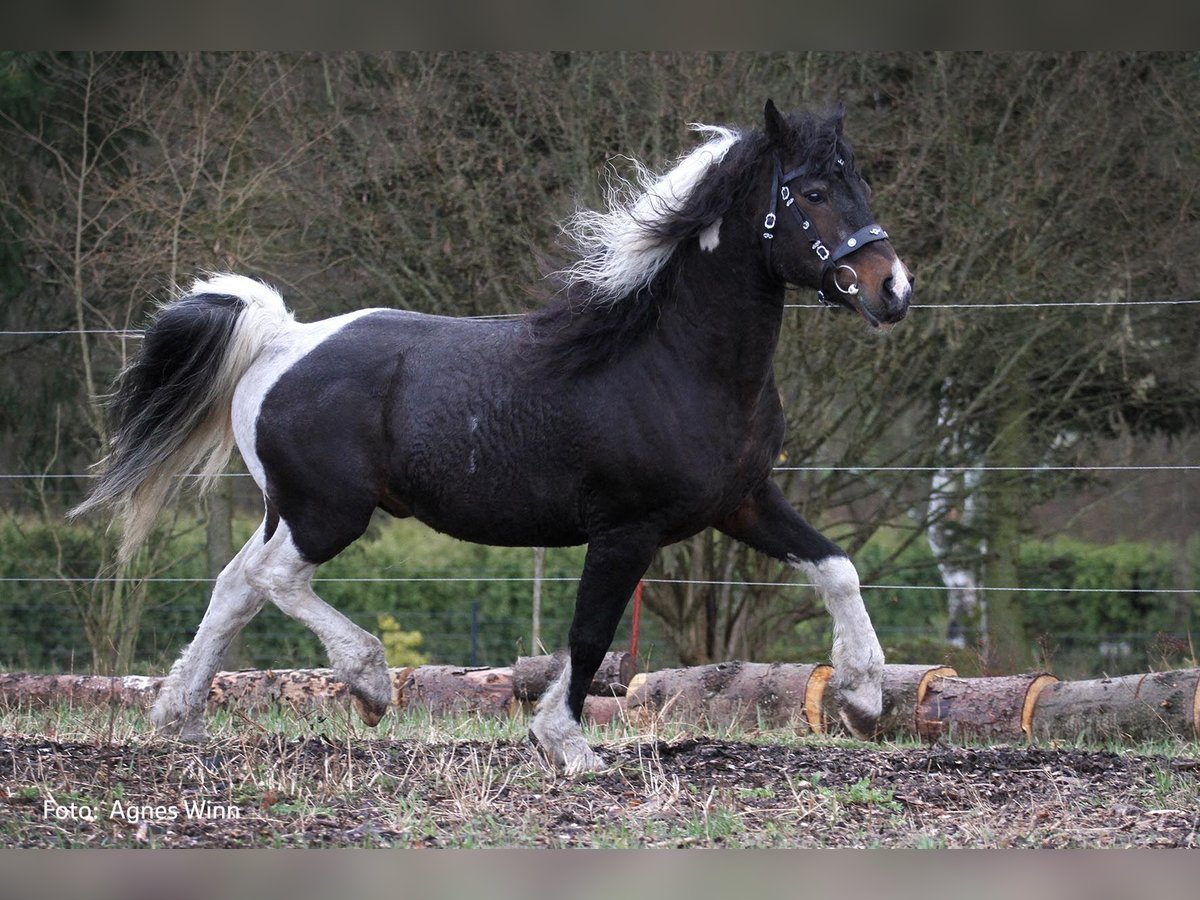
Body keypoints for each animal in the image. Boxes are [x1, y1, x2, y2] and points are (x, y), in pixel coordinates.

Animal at [75, 100, 907, 777]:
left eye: (857, 183)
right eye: (811, 192)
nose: (892, 289)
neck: (671, 360)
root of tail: (281, 339)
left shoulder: (742, 502)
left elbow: (836, 568)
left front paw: (864, 699)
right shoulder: (626, 530)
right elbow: (589, 633)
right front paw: (565, 745)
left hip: (293, 508)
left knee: (235, 586)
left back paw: (180, 718)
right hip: (328, 513)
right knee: (272, 578)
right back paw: (368, 683)